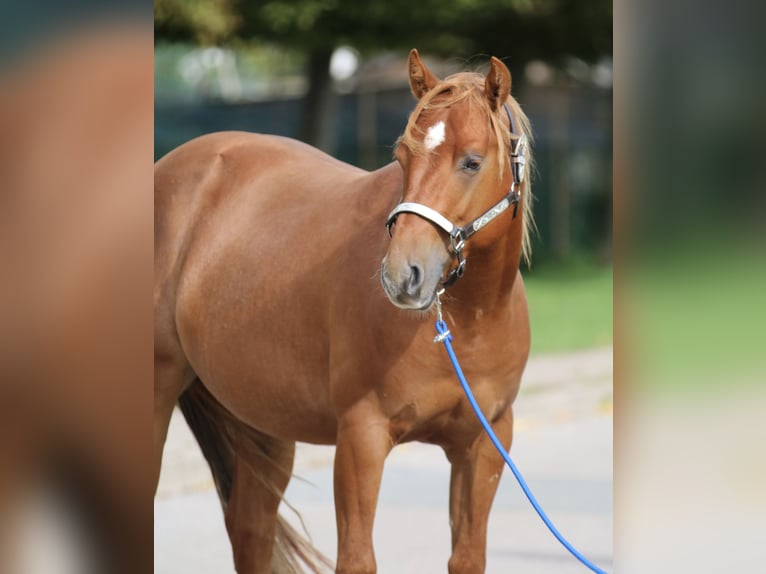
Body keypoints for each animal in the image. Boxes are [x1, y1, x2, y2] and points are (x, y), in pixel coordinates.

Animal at [154, 49, 534, 574]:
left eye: (472, 162)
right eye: (402, 157)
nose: (402, 275)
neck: (467, 324)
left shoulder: (485, 445)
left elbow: (467, 556)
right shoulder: (361, 439)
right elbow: (356, 558)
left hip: (263, 426)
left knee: (250, 530)